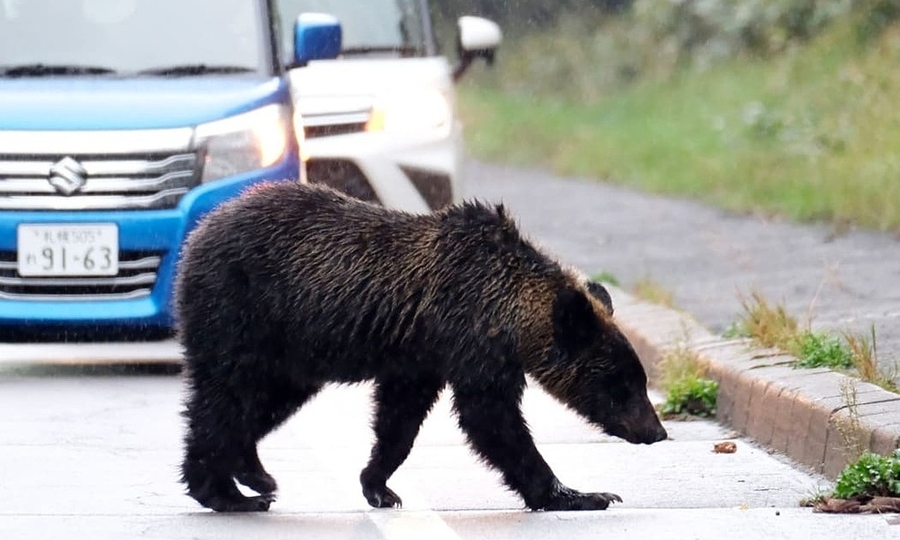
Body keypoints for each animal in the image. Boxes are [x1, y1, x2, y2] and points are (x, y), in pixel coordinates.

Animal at [176, 181, 667, 513]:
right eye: (623, 384)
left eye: (639, 379)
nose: (656, 431)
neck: (506, 310)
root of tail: (199, 232)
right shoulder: (469, 342)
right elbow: (492, 421)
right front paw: (580, 493)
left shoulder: (421, 355)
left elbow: (399, 420)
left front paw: (378, 484)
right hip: (240, 313)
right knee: (223, 400)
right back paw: (226, 492)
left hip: (291, 354)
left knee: (263, 402)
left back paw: (255, 474)